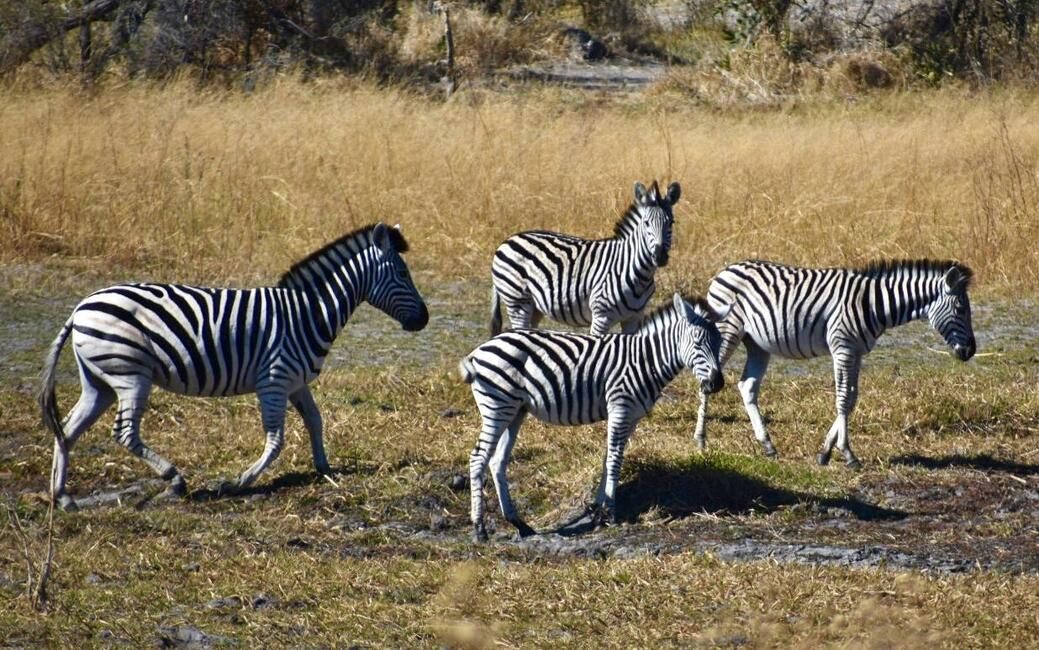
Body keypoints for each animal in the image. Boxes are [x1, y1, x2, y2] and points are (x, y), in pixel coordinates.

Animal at [40, 223, 428, 510]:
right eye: (402, 273)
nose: (424, 319)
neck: (307, 313)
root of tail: (80, 308)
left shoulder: (296, 381)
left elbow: (315, 420)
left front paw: (324, 468)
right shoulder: (274, 379)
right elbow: (276, 440)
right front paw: (239, 481)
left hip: (100, 381)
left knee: (68, 429)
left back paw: (63, 497)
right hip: (130, 374)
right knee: (124, 432)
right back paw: (175, 481)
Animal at [460, 293, 731, 542]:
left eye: (719, 343)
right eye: (697, 343)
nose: (716, 383)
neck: (646, 361)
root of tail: (479, 350)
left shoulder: (631, 416)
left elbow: (608, 458)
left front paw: (598, 508)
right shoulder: (620, 408)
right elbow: (614, 460)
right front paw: (610, 512)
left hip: (516, 410)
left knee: (497, 461)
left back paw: (518, 523)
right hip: (497, 407)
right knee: (478, 458)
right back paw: (479, 529)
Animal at [489, 180, 681, 337]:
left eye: (671, 222)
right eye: (646, 223)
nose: (660, 256)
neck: (638, 273)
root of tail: (507, 240)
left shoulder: (633, 318)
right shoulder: (601, 316)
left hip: (534, 306)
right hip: (517, 301)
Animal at [693, 259, 977, 469]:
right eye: (961, 309)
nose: (971, 352)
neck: (874, 304)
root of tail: (726, 269)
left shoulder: (856, 352)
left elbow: (851, 399)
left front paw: (826, 452)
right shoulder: (842, 349)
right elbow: (841, 398)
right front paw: (847, 453)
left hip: (757, 344)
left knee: (747, 387)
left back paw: (767, 445)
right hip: (727, 330)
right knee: (707, 379)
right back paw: (701, 440)